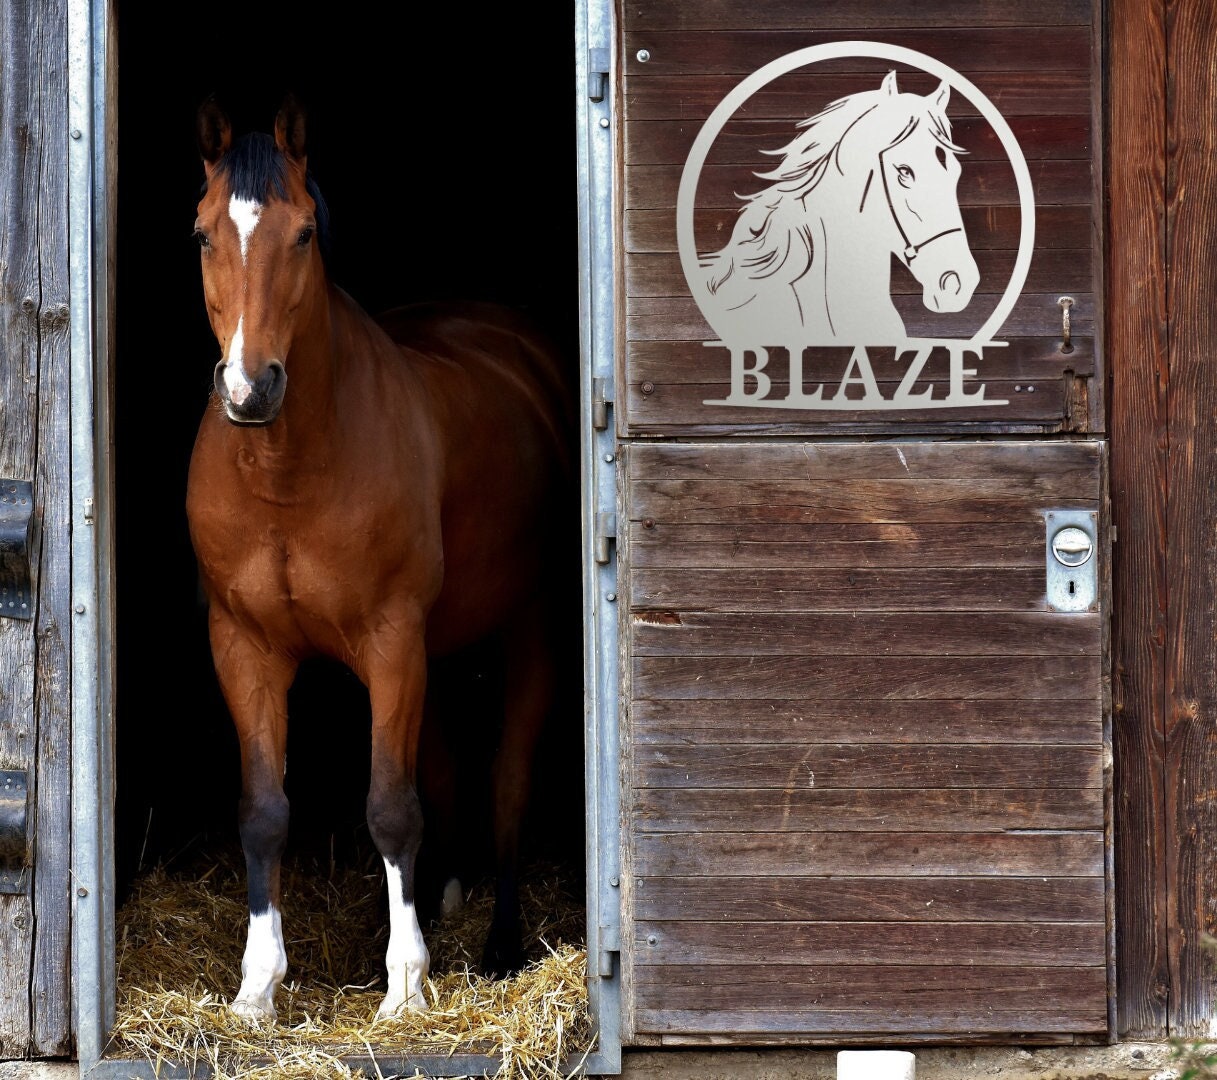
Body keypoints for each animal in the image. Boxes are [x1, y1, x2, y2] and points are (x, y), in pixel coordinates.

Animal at [184, 94, 577, 1023]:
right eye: (203, 233)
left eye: (302, 234)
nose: (250, 389)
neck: (287, 471)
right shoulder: (244, 647)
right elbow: (264, 809)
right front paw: (257, 985)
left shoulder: (391, 641)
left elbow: (392, 807)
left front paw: (404, 985)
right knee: (446, 770)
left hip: (529, 629)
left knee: (505, 780)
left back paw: (499, 944)